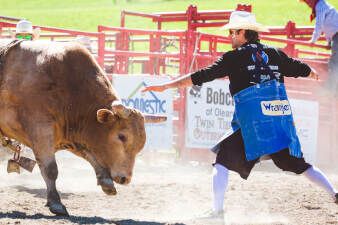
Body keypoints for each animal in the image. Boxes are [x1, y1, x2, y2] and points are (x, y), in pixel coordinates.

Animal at [0, 40, 164, 216]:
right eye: (122, 137)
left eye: (140, 145)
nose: (125, 179)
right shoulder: (40, 130)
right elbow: (50, 169)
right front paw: (56, 203)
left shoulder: (73, 135)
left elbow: (91, 156)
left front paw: (105, 180)